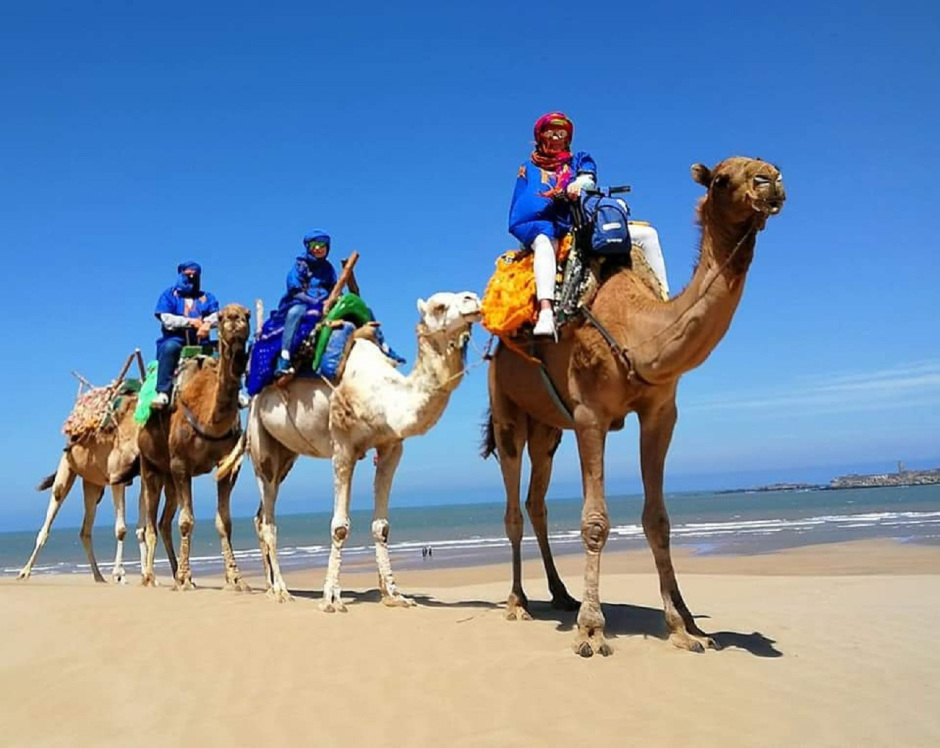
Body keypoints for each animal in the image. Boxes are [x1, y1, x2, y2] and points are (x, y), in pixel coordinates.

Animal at [18, 396, 142, 583]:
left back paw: (99, 577)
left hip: (93, 484)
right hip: (66, 470)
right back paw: (24, 572)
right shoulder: (118, 477)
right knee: (49, 520)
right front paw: (119, 574)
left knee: (85, 530)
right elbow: (121, 529)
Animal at [138, 303, 251, 590]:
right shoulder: (180, 463)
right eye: (222, 316)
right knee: (149, 524)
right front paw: (185, 580)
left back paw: (174, 572)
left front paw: (235, 579)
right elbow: (187, 521)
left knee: (163, 522)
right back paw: (150, 577)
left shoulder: (229, 465)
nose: (236, 320)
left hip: (169, 478)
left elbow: (224, 522)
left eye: (247, 314)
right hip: (150, 467)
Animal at [219, 291, 481, 606]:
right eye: (439, 306)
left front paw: (395, 595)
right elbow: (340, 526)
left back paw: (271, 587)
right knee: (268, 520)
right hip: (262, 443)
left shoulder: (391, 447)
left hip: (287, 453)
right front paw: (331, 598)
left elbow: (382, 526)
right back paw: (282, 590)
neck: (385, 397)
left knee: (260, 517)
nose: (473, 299)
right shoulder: (343, 447)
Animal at [483, 156, 786, 656]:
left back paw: (561, 594)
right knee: (512, 507)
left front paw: (685, 627)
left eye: (770, 166)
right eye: (723, 179)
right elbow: (595, 521)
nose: (771, 181)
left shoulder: (661, 413)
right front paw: (592, 630)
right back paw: (517, 602)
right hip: (507, 407)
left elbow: (658, 519)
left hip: (549, 428)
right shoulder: (590, 414)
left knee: (536, 501)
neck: (637, 331)